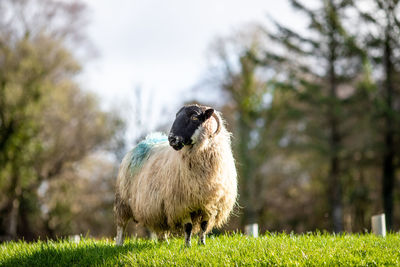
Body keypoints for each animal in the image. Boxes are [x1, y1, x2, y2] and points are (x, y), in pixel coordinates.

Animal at [113, 104, 238, 247]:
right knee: (121, 225)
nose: (172, 139)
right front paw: (187, 246)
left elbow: (204, 225)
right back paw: (119, 244)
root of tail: (145, 141)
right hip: (123, 201)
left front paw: (202, 244)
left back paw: (165, 242)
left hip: (155, 207)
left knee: (159, 227)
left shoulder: (210, 204)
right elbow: (188, 227)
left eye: (194, 117)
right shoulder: (181, 204)